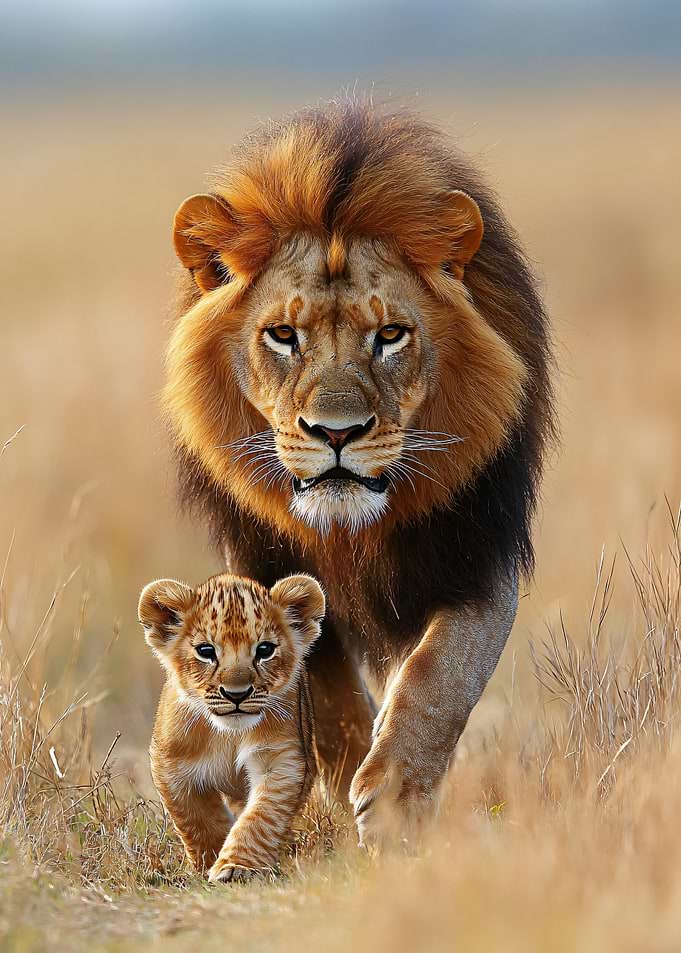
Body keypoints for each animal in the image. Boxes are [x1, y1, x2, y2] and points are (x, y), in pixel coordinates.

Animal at [164, 99, 554, 847]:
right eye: (283, 335)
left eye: (391, 334)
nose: (337, 433)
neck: (352, 530)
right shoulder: (261, 559)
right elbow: (322, 682)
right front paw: (348, 783)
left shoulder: (474, 551)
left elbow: (439, 675)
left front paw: (395, 797)